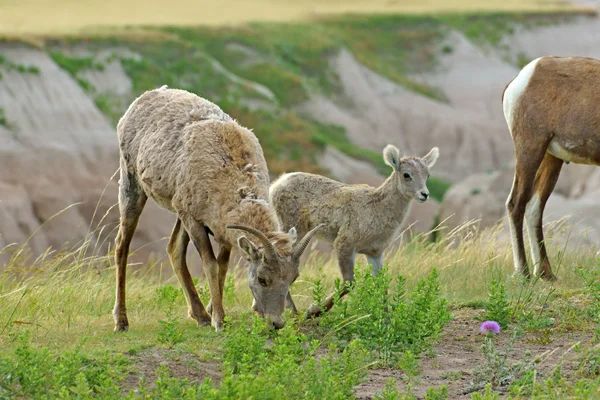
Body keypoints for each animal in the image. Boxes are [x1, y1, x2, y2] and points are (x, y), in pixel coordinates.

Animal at [110, 86, 322, 332]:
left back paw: (200, 315)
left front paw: (213, 313)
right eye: (262, 278)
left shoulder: (221, 231)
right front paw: (219, 320)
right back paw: (121, 321)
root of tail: (141, 100)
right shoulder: (195, 222)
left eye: (292, 278)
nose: (276, 322)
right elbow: (210, 265)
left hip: (179, 212)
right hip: (133, 187)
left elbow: (222, 266)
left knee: (174, 249)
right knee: (122, 246)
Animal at [270, 144, 438, 316]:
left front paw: (386, 317)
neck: (377, 209)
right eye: (406, 174)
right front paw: (314, 311)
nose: (424, 194)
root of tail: (278, 183)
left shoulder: (375, 253)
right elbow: (349, 283)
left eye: (427, 175)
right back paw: (291, 310)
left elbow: (381, 285)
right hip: (292, 227)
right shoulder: (345, 244)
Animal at [502, 56, 600, 282]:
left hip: (552, 158)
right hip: (530, 149)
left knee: (534, 206)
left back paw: (546, 274)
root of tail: (521, 79)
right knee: (516, 203)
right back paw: (524, 274)